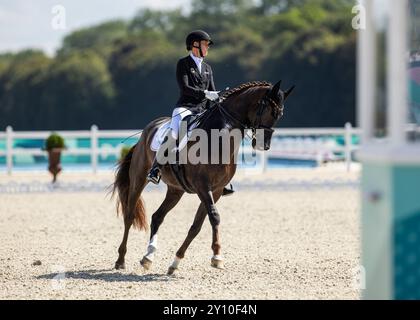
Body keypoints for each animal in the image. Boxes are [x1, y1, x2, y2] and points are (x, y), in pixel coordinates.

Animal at [111, 80, 296, 276]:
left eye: (279, 115)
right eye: (268, 110)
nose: (263, 145)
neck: (220, 137)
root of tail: (148, 129)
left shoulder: (216, 190)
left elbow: (197, 226)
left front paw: (175, 262)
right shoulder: (202, 186)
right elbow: (214, 217)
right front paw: (217, 257)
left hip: (176, 190)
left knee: (157, 217)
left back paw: (148, 256)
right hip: (139, 179)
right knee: (129, 215)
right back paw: (120, 260)